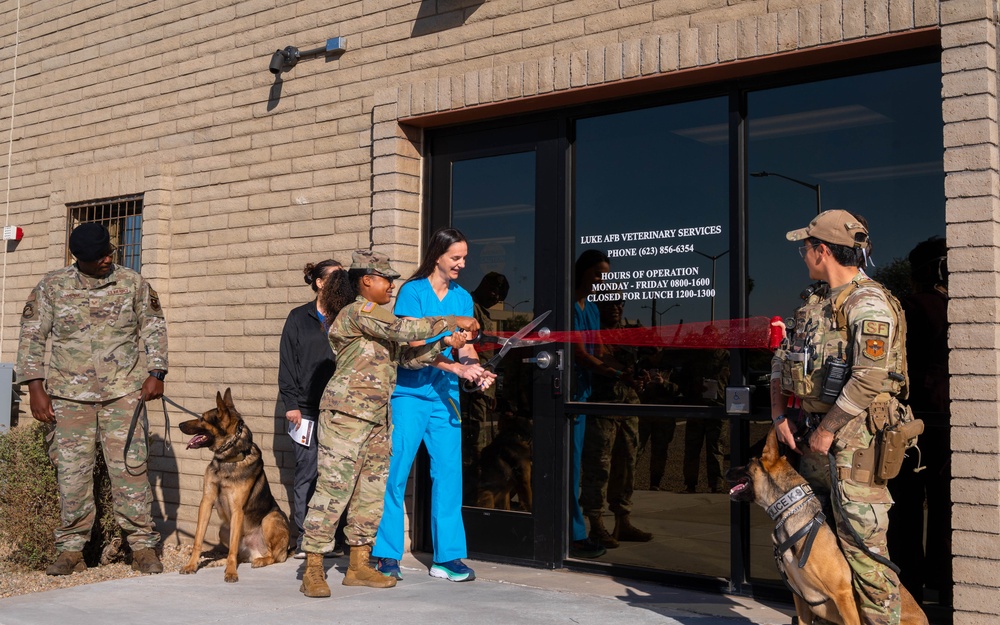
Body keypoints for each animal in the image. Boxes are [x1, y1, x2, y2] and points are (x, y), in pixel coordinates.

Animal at [178, 388, 290, 584]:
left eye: (202, 419)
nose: (179, 424)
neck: (228, 460)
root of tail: (254, 552)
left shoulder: (237, 509)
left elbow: (232, 549)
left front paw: (231, 572)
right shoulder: (206, 502)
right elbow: (198, 539)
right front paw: (191, 565)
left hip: (271, 518)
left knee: (275, 556)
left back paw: (261, 561)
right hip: (223, 529)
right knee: (239, 554)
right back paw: (221, 561)